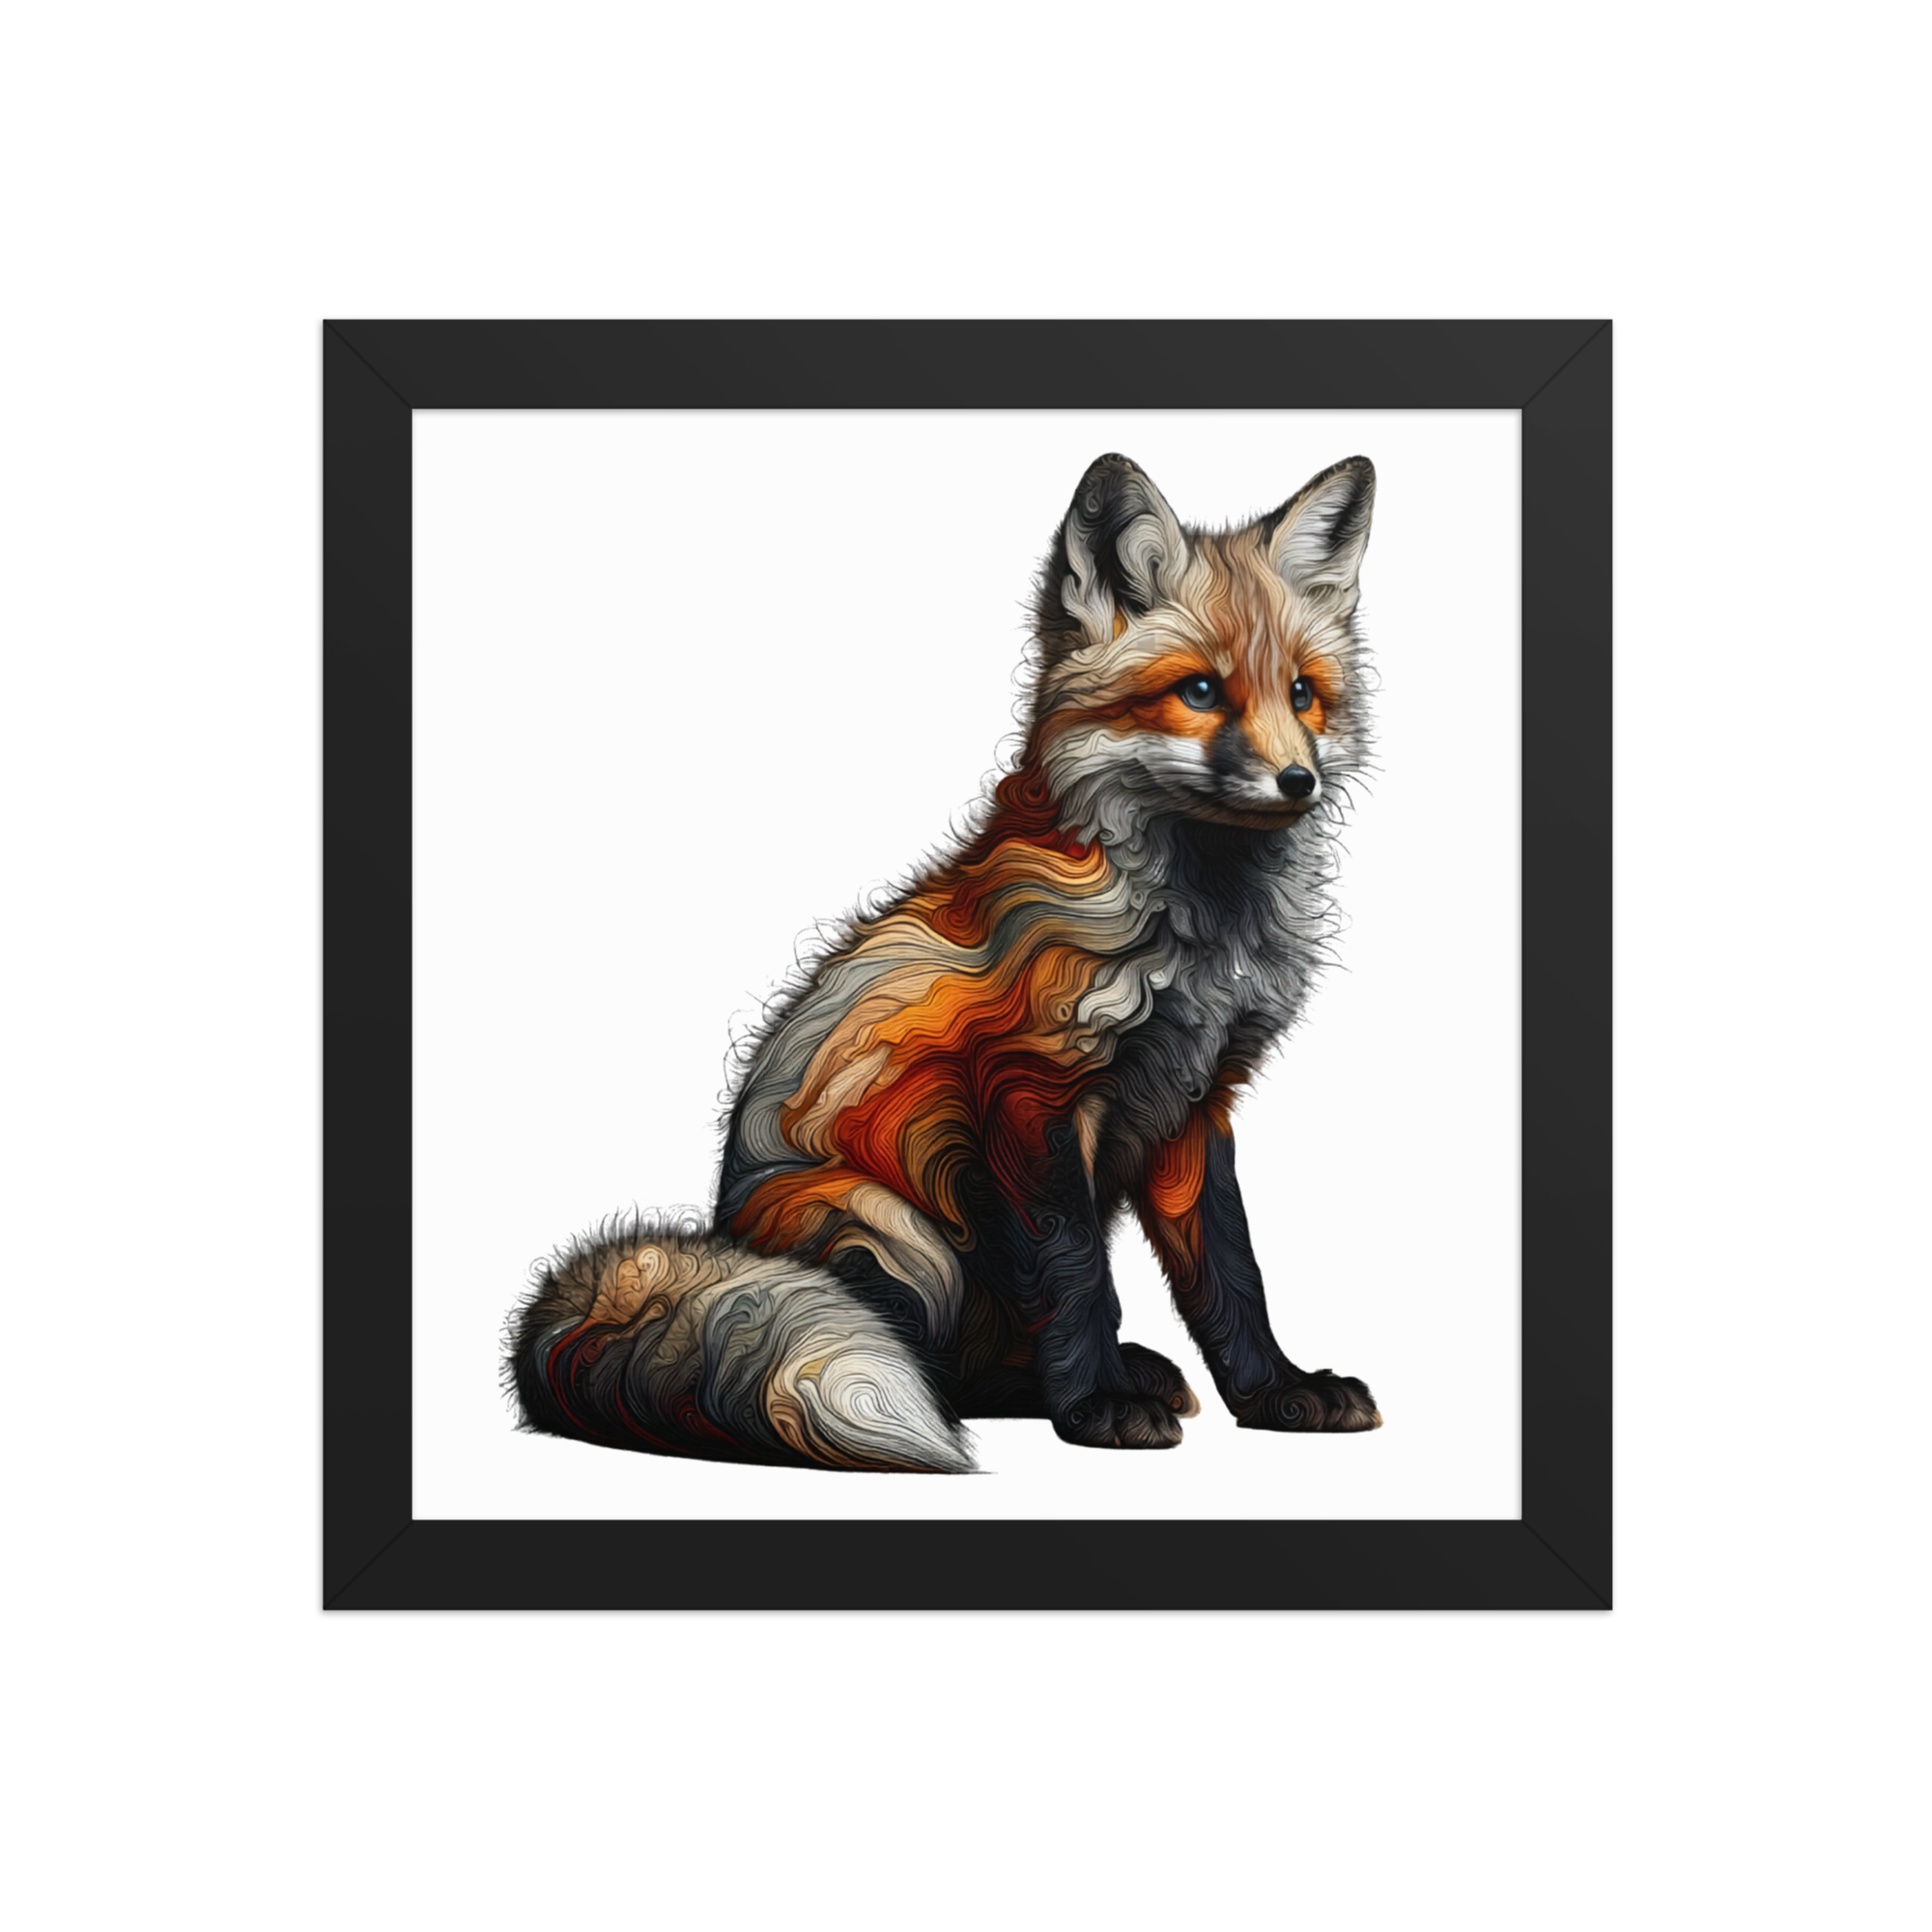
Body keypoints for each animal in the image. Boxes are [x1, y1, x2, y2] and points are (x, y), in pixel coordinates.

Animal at [507, 452, 1384, 1471]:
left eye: (1302, 694)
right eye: (1201, 692)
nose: (1299, 781)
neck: (1201, 933)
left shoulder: (1197, 1104)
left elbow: (1232, 1276)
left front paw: (1277, 1392)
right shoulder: (1029, 1092)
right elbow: (1077, 1274)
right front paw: (1095, 1406)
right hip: (897, 1234)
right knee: (942, 1367)